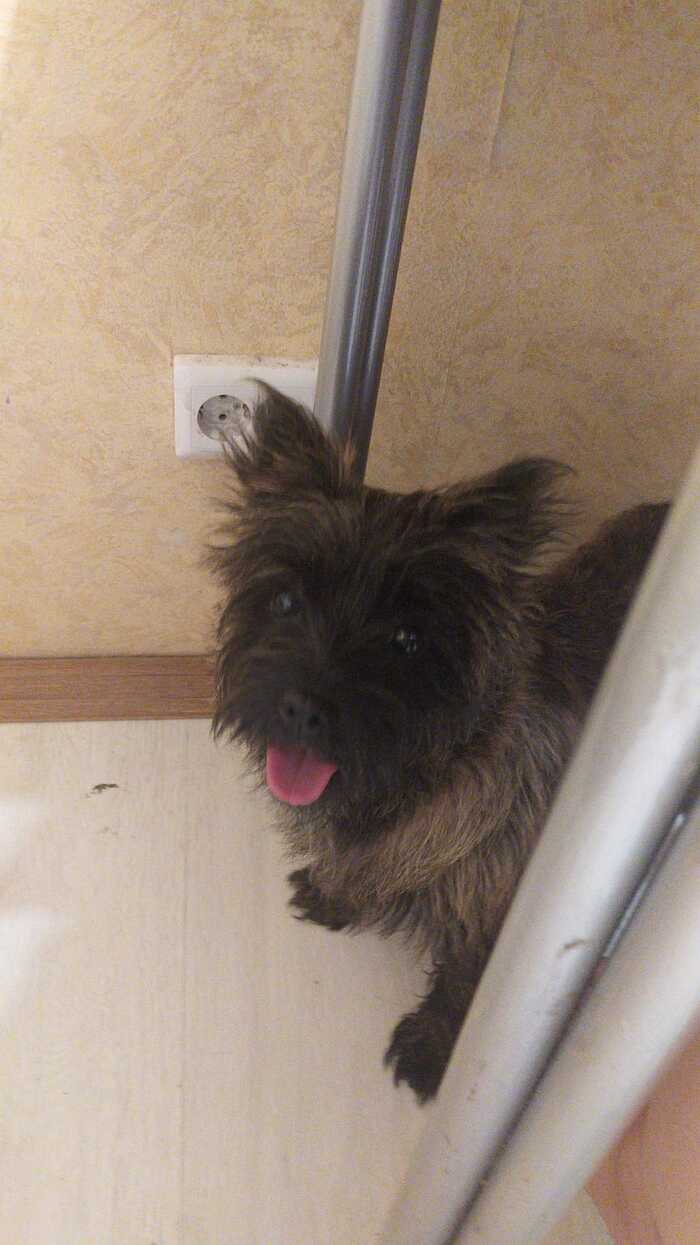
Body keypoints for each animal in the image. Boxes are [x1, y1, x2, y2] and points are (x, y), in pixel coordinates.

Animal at [209, 387, 667, 1101]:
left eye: (407, 640)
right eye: (286, 601)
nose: (302, 709)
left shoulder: (512, 897)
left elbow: (467, 975)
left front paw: (431, 1046)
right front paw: (336, 893)